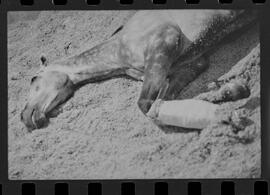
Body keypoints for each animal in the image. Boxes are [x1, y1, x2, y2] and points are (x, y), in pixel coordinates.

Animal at [20, 9, 258, 131]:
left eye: (33, 79)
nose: (25, 117)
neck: (119, 49)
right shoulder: (190, 65)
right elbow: (160, 102)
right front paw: (231, 94)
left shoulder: (165, 41)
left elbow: (146, 105)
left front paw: (228, 113)